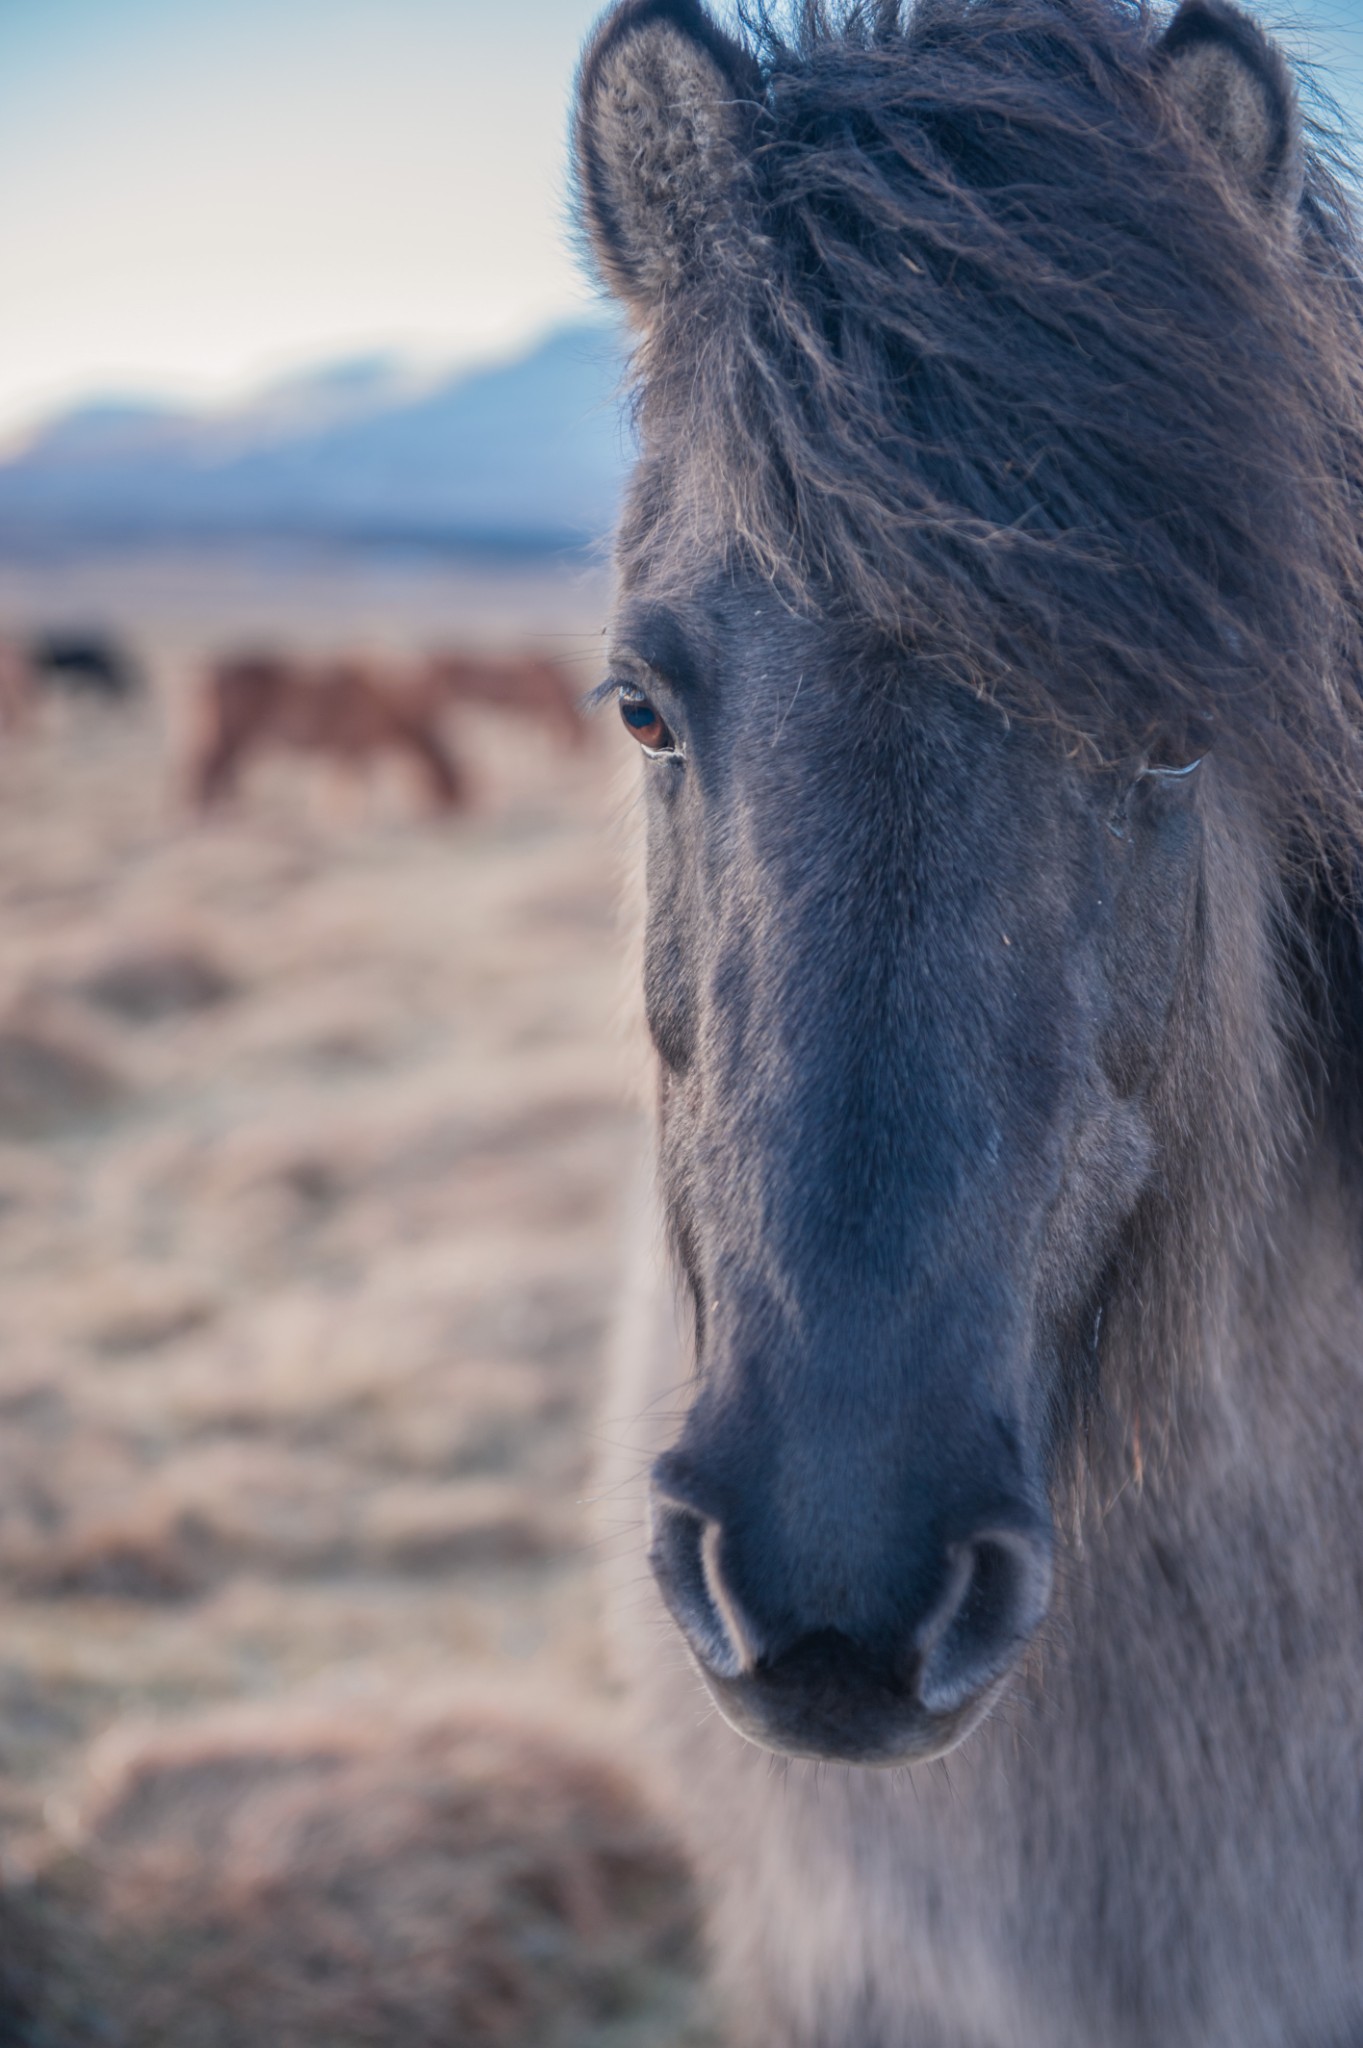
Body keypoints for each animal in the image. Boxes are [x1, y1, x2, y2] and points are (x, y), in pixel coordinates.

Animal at [187, 655, 466, 815]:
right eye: (453, 786)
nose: (459, 812)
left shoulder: (352, 752)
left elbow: (348, 786)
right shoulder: (351, 749)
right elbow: (347, 788)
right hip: (233, 735)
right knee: (208, 770)